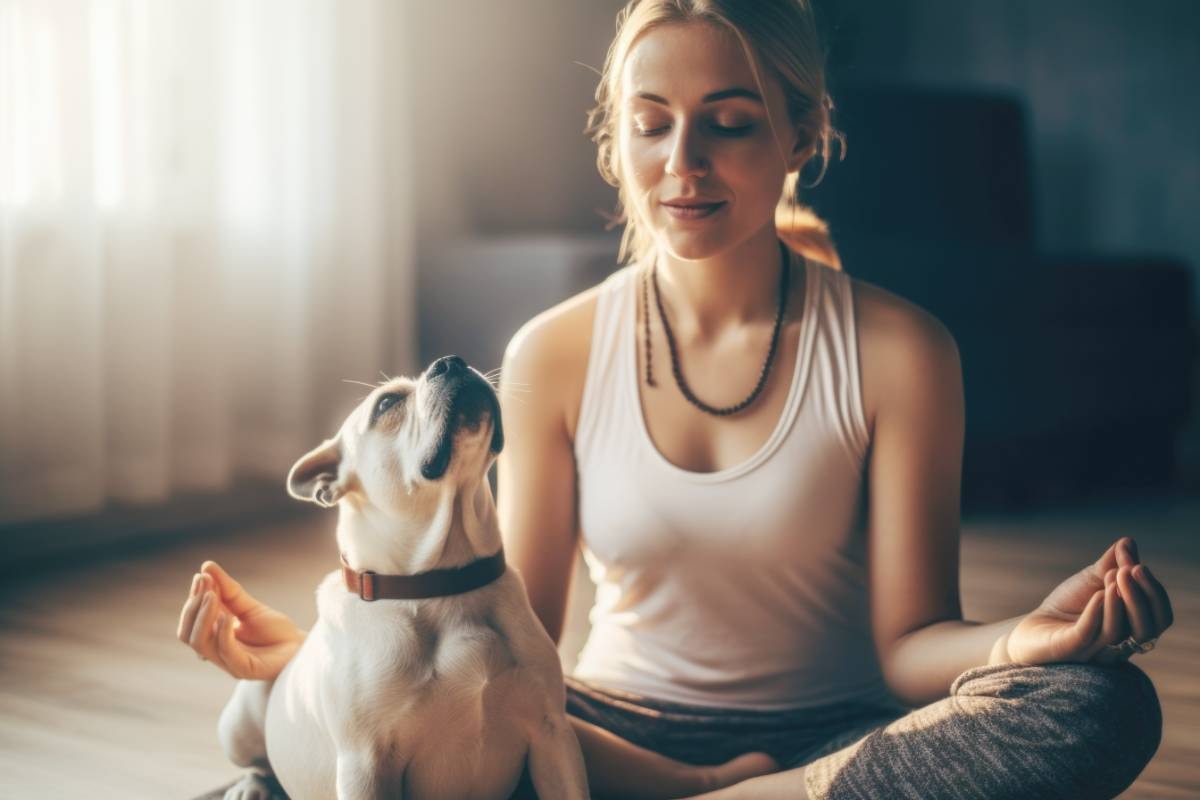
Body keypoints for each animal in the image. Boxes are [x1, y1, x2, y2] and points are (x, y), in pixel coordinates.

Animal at [218, 357, 592, 800]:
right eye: (387, 404)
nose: (451, 361)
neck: (441, 583)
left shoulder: (552, 734)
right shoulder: (367, 765)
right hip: (242, 715)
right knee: (259, 760)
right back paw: (254, 786)